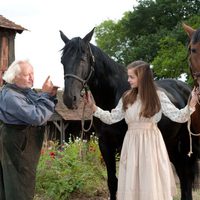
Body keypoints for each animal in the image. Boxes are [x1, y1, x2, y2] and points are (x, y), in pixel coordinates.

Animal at [59, 28, 198, 200]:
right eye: (62, 61)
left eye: (83, 59)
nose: (69, 98)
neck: (112, 95)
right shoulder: (105, 145)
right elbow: (112, 182)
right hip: (171, 144)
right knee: (183, 174)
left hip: (185, 143)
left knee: (187, 175)